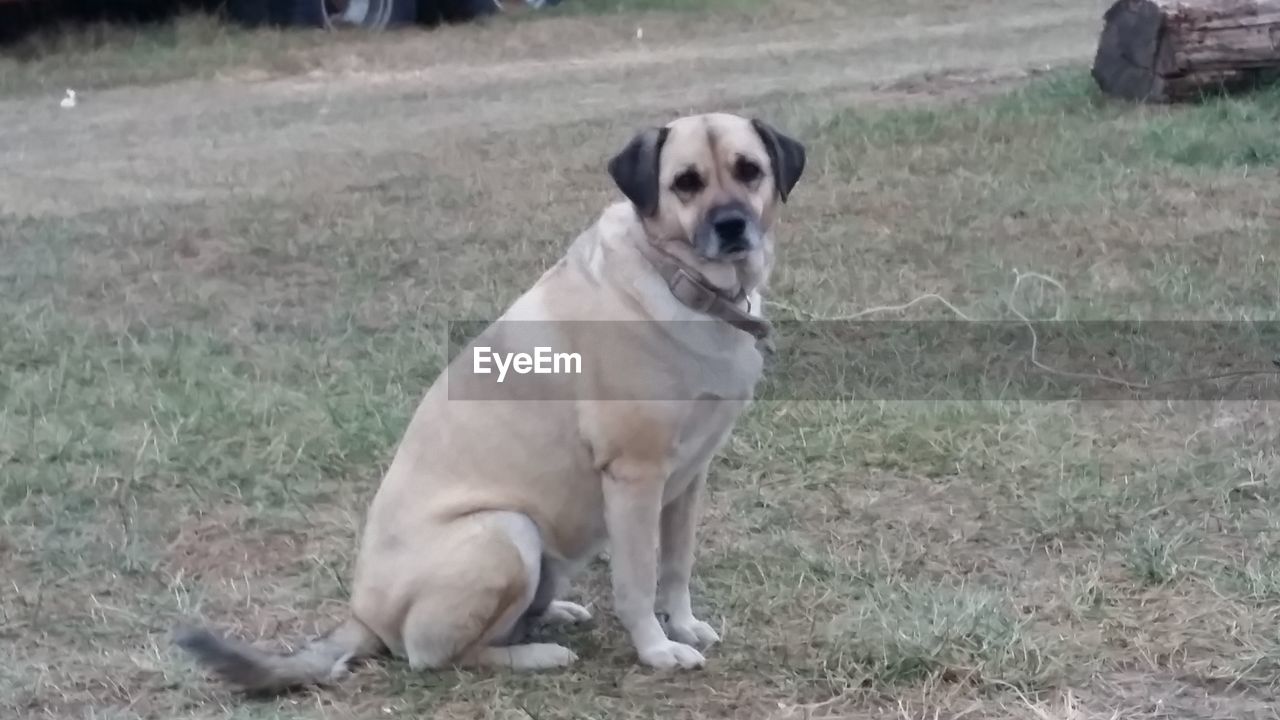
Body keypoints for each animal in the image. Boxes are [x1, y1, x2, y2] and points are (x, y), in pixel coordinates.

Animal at [175, 112, 803, 691]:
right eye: (685, 183)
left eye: (750, 170)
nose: (731, 227)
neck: (678, 279)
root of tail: (362, 617)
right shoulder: (635, 478)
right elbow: (637, 580)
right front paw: (656, 649)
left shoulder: (688, 477)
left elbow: (675, 566)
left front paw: (685, 625)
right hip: (507, 531)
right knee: (435, 654)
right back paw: (537, 654)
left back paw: (551, 616)